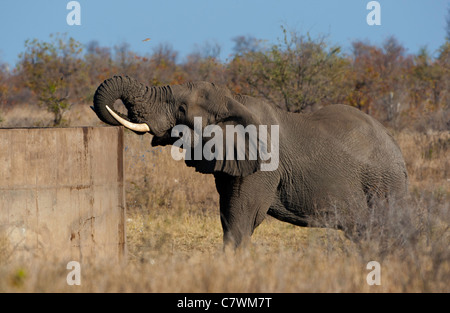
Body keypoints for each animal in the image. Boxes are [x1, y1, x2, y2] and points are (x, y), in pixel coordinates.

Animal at [91, 75, 408, 246]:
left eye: (181, 108)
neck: (234, 99)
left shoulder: (263, 166)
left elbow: (242, 216)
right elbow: (228, 213)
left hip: (383, 186)